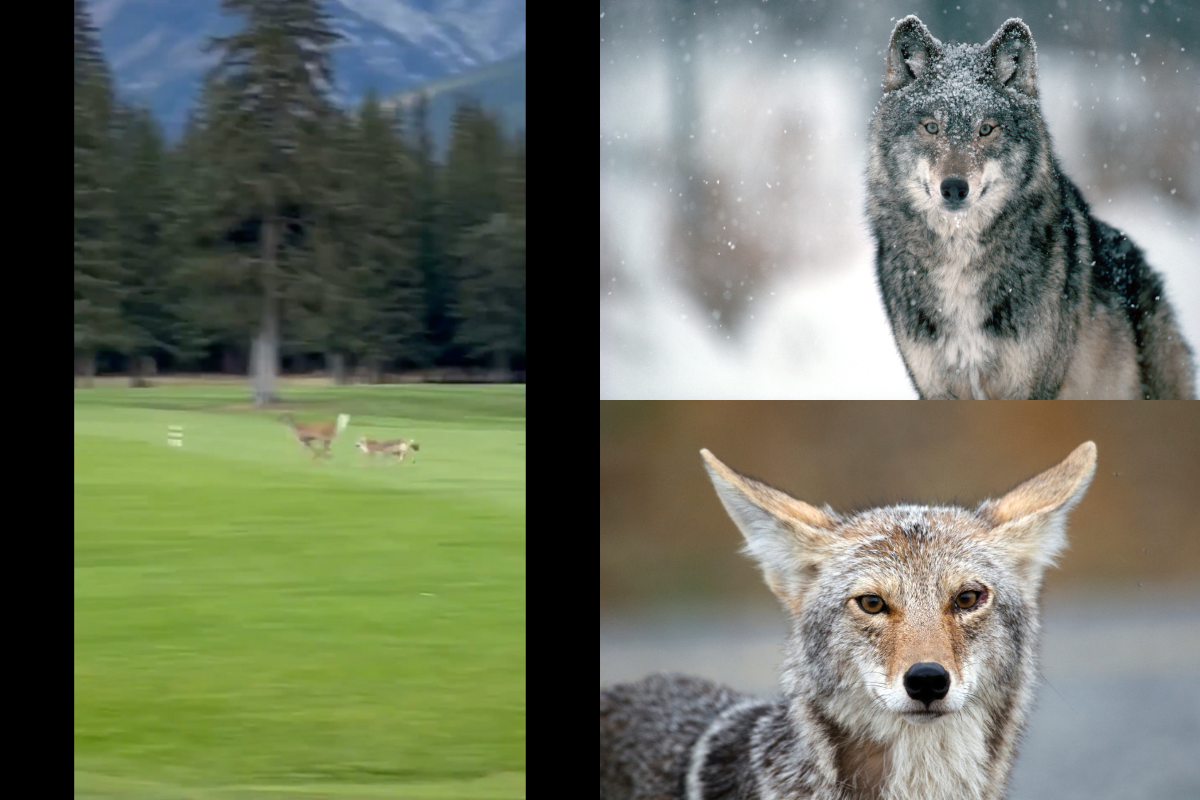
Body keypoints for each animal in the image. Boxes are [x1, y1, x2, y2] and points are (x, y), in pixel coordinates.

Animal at [866, 15, 1194, 399]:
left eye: (986, 129)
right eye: (931, 127)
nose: (954, 188)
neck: (959, 262)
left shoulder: (1031, 387)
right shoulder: (936, 388)